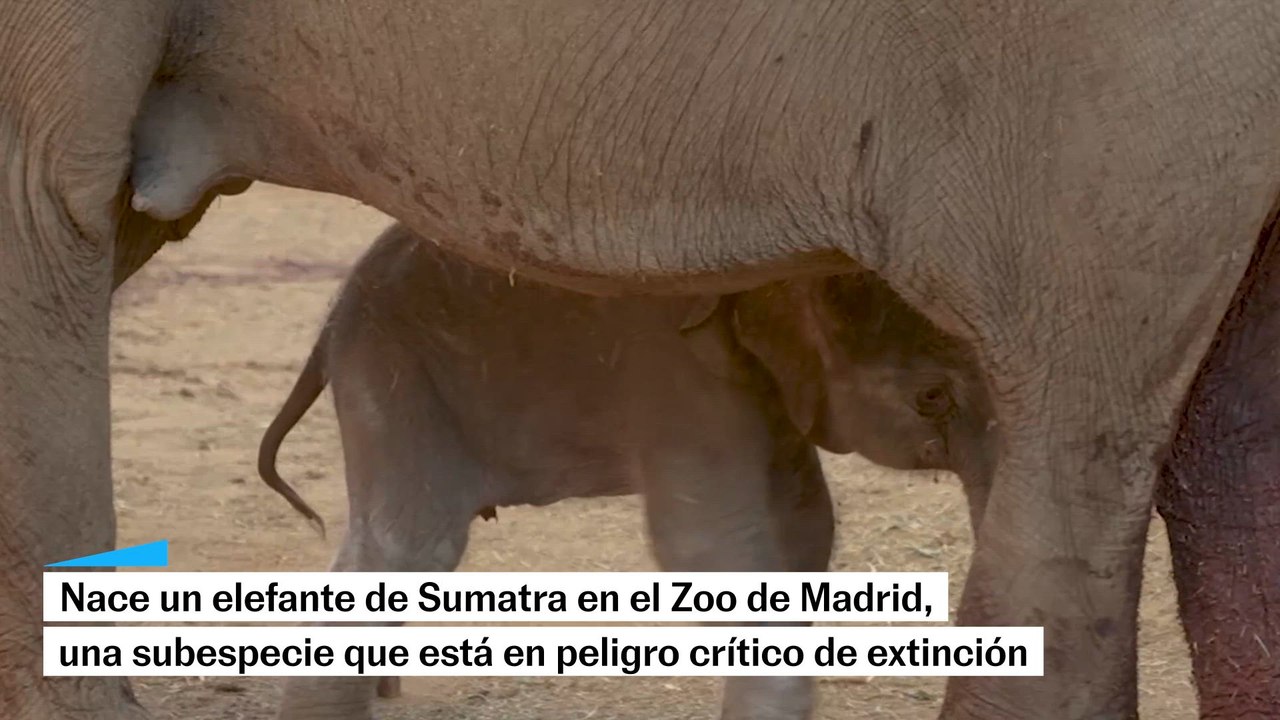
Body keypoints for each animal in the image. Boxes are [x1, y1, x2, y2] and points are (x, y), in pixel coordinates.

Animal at [255, 222, 995, 718]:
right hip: (392, 372)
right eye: (933, 398)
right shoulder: (677, 375)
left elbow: (807, 522)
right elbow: (707, 545)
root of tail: (328, 327)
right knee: (410, 545)